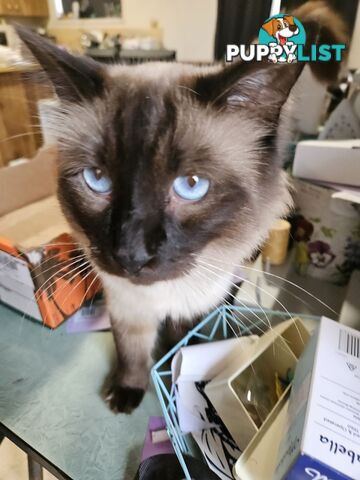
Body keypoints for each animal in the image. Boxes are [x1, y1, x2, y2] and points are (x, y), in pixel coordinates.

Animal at [16, 0, 346, 412]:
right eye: (97, 179)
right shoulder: (126, 304)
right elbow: (131, 351)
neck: (163, 296)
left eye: (191, 185)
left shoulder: (197, 306)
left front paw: (176, 383)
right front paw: (126, 393)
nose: (131, 254)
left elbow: (183, 345)